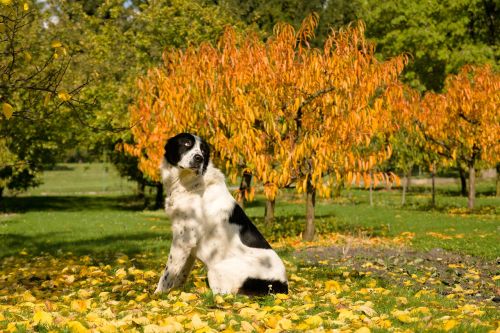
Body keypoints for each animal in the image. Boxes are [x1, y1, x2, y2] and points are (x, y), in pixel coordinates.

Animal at [156, 132, 290, 294]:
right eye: (187, 143)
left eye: (203, 150)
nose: (199, 158)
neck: (190, 183)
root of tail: (282, 285)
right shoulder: (189, 246)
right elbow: (181, 272)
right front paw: (176, 292)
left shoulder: (184, 238)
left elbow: (167, 273)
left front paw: (157, 295)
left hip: (216, 268)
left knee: (221, 294)